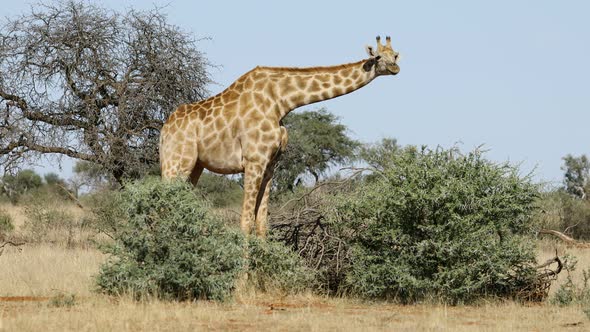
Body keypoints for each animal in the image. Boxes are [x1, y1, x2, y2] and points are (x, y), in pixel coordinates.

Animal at [161, 36, 402, 237]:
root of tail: (165, 130)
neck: (281, 102)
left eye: (396, 54)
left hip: (195, 167)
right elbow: (246, 222)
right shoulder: (254, 161)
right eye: (378, 56)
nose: (395, 67)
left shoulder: (271, 165)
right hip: (177, 163)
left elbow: (261, 223)